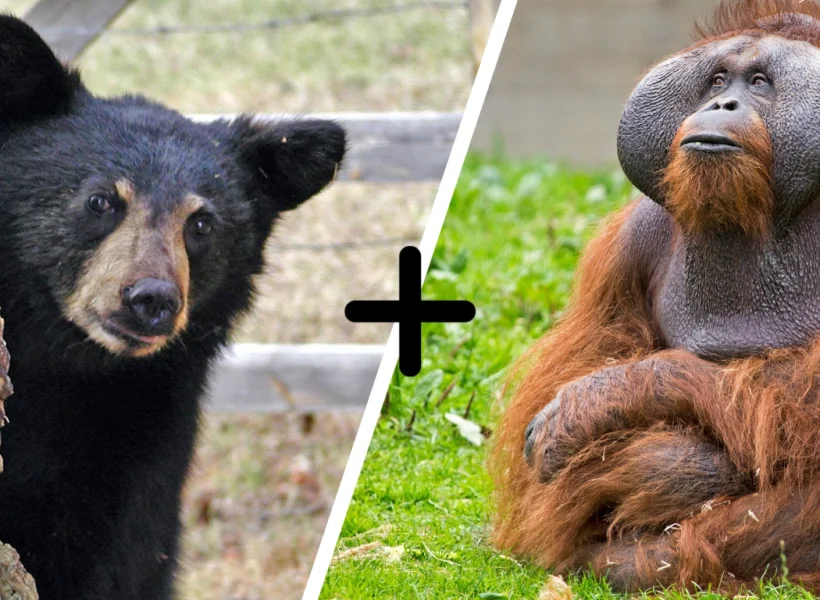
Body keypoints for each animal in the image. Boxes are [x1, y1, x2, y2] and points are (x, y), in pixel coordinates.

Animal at [0, 15, 346, 600]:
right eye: (101, 200)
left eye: (201, 224)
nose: (152, 301)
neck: (66, 365)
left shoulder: (143, 441)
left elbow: (117, 559)